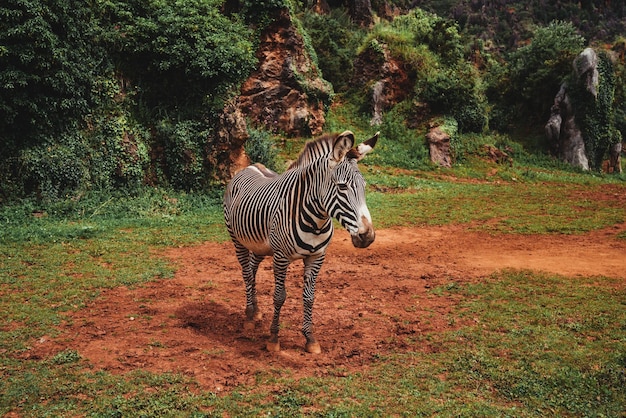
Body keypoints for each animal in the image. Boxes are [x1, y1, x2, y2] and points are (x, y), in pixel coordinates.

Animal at [224, 130, 376, 352]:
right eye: (342, 187)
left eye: (364, 187)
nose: (368, 236)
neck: (316, 221)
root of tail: (249, 166)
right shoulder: (280, 257)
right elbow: (280, 296)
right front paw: (274, 339)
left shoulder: (317, 257)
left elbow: (309, 297)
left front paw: (310, 338)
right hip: (237, 239)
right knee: (245, 272)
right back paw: (250, 315)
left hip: (260, 245)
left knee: (252, 269)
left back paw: (256, 310)